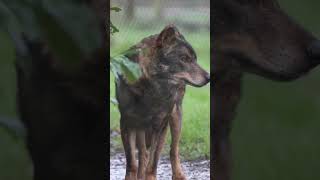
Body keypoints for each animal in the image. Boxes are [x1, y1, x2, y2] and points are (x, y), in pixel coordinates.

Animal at [116, 24, 211, 180]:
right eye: (184, 58)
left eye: (195, 59)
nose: (209, 77)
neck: (151, 88)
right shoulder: (127, 123)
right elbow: (132, 162)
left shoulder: (159, 125)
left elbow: (153, 162)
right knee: (143, 153)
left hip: (175, 119)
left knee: (173, 149)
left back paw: (178, 175)